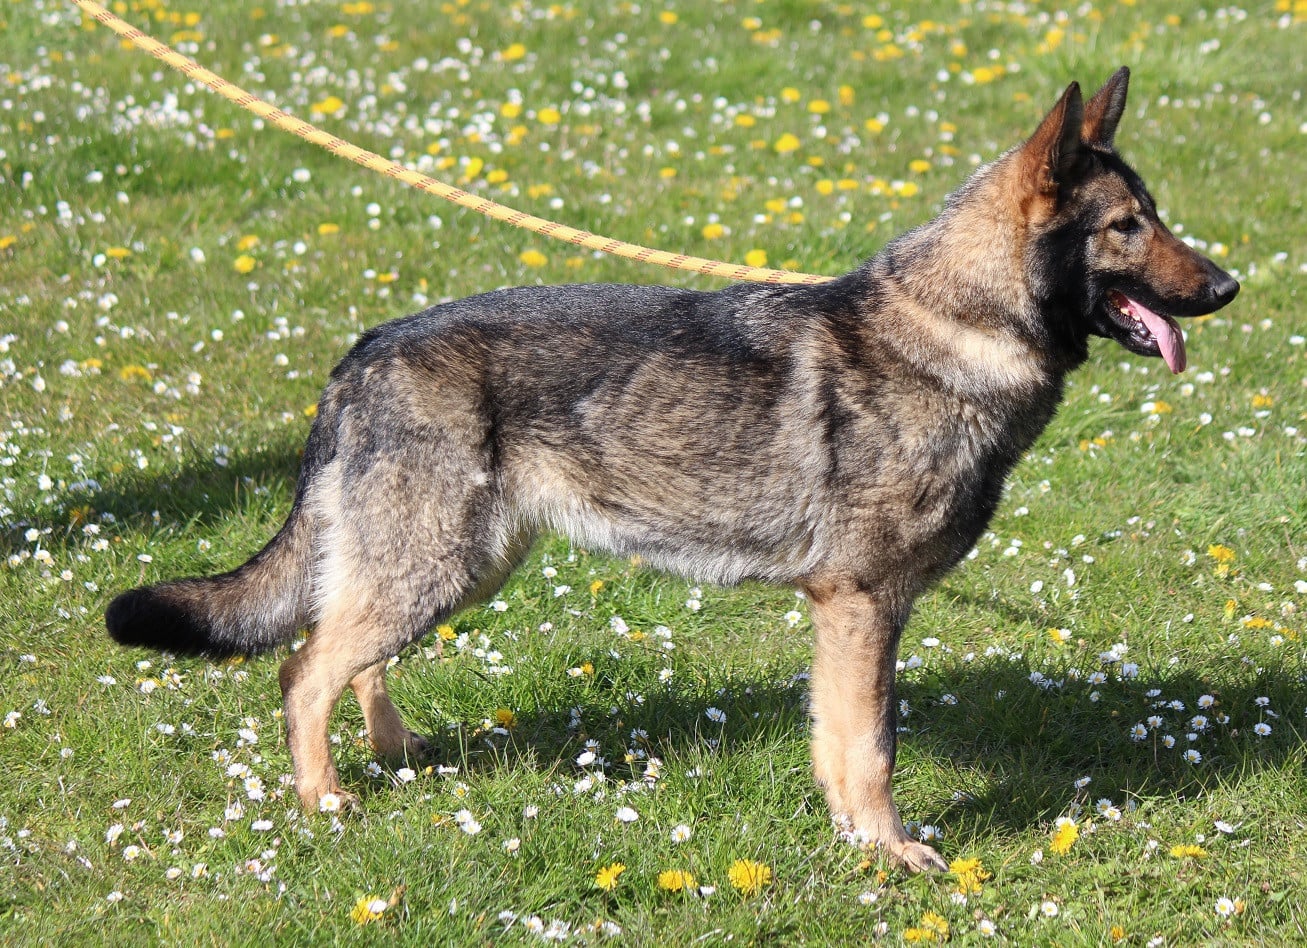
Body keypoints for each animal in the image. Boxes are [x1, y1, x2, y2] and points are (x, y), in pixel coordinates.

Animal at [106, 67, 1238, 871]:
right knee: (306, 670)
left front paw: (853, 842)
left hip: (455, 567)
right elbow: (869, 745)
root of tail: (365, 350)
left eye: (1154, 216)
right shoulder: (861, 605)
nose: (1228, 286)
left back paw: (393, 756)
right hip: (432, 565)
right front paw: (889, 852)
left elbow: (837, 743)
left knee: (357, 659)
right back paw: (323, 799)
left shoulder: (847, 617)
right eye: (1125, 228)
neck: (955, 325)